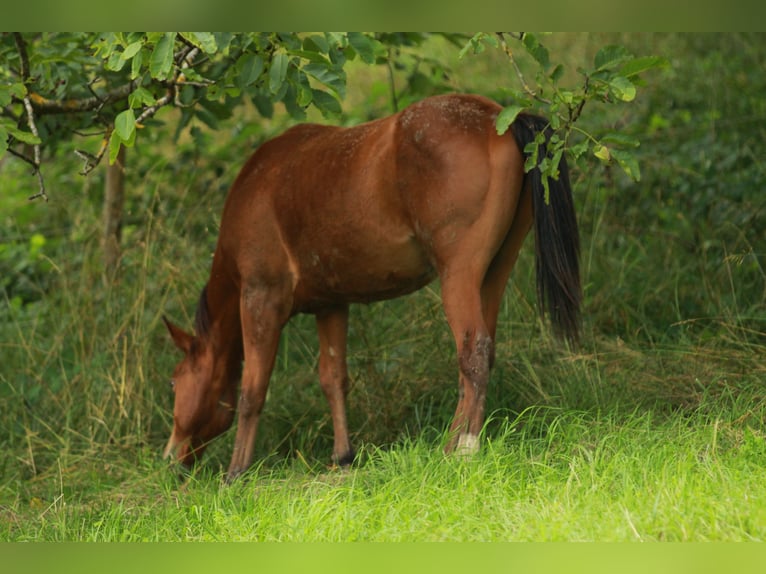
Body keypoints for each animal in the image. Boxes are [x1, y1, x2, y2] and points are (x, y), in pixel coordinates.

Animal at [164, 94, 584, 482]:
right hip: (494, 273)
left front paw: (237, 470)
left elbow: (253, 389)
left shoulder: (260, 299)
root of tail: (497, 117)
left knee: (473, 352)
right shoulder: (330, 304)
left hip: (459, 275)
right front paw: (343, 455)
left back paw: (458, 447)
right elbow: (333, 379)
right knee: (484, 352)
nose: (170, 457)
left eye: (174, 382)